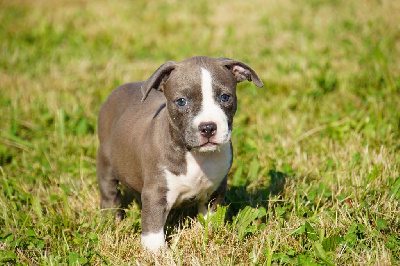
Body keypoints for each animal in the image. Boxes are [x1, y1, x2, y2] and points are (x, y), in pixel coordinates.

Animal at [97, 56, 264, 251]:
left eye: (225, 97)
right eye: (181, 101)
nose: (208, 127)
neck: (197, 155)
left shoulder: (215, 191)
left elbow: (209, 218)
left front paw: (205, 235)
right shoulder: (155, 193)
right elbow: (153, 228)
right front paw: (156, 253)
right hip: (105, 160)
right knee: (109, 193)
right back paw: (111, 219)